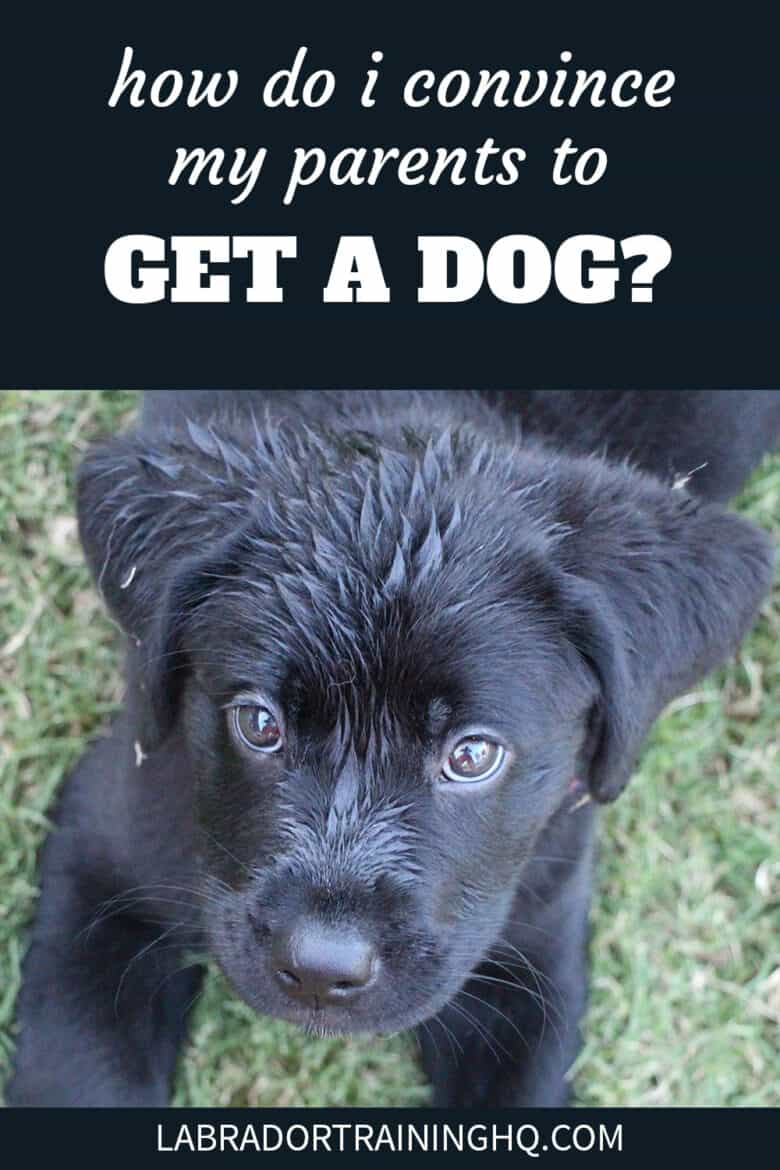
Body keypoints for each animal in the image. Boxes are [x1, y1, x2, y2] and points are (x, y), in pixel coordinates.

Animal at [7, 390, 780, 1104]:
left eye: (472, 755)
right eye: (259, 722)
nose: (322, 968)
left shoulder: (533, 949)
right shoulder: (103, 851)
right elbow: (81, 1074)